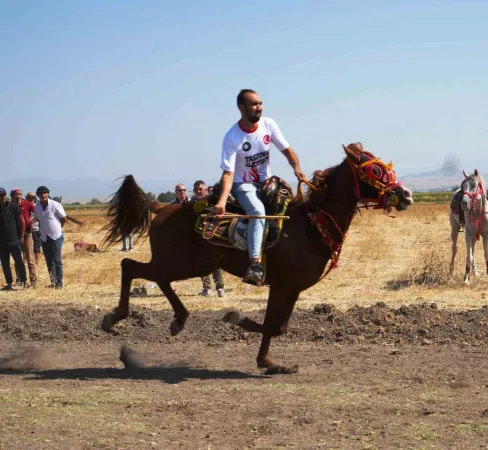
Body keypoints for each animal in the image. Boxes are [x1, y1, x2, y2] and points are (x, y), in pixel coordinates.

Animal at [101, 143, 414, 372]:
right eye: (375, 169)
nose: (406, 194)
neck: (311, 227)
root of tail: (162, 208)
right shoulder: (281, 284)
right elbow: (270, 324)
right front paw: (241, 326)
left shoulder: (294, 288)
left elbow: (280, 326)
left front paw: (270, 362)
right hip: (179, 262)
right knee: (132, 267)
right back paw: (118, 318)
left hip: (194, 264)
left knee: (150, 275)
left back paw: (176, 319)